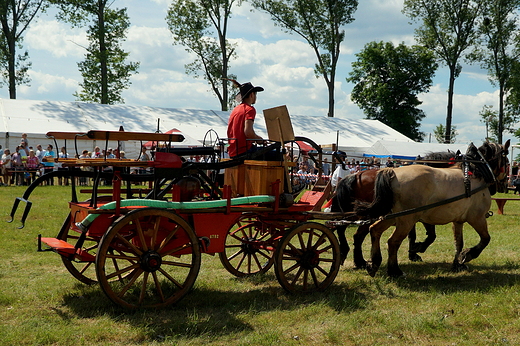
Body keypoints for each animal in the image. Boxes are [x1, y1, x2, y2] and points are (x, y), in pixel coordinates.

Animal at [356, 139, 510, 278]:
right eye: (507, 161)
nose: (505, 184)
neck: (476, 172)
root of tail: (392, 173)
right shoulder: (477, 218)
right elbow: (485, 239)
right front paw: (468, 255)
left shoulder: (458, 220)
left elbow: (458, 242)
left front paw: (457, 264)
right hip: (406, 219)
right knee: (393, 242)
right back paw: (395, 271)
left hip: (391, 216)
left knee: (375, 230)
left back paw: (373, 264)